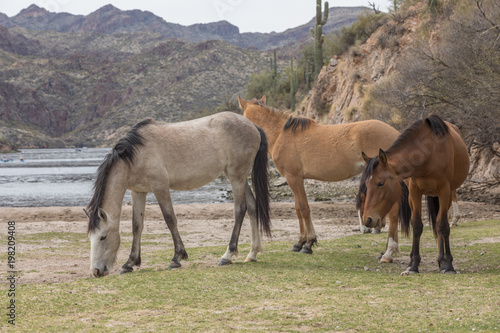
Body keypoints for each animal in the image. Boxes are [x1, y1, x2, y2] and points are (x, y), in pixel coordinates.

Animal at [239, 96, 402, 254]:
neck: (281, 135)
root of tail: (395, 132)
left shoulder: (293, 178)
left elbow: (304, 208)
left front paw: (308, 244)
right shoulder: (296, 179)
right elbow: (298, 209)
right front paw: (299, 243)